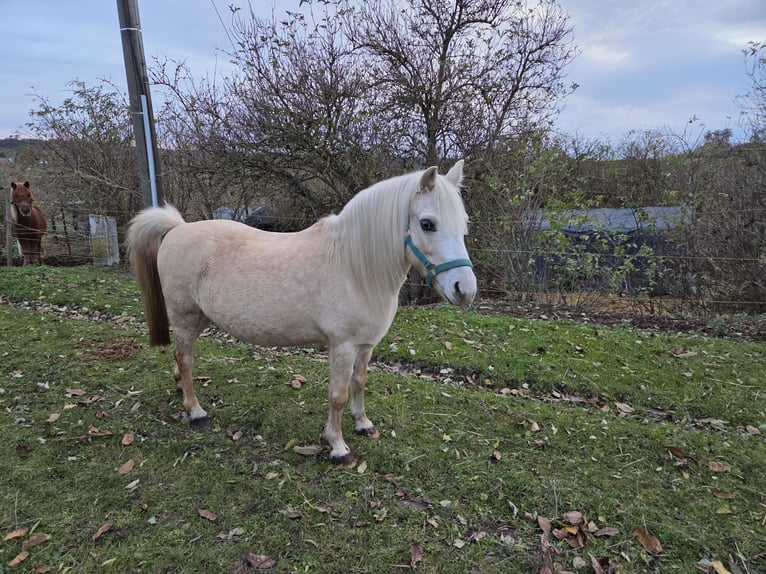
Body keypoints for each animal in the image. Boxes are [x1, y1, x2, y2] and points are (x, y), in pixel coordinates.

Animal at [126, 161, 477, 465]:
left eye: (464, 224)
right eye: (427, 224)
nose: (465, 289)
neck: (354, 267)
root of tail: (177, 229)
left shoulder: (365, 346)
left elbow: (360, 382)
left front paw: (363, 424)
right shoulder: (342, 346)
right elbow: (337, 394)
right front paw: (338, 447)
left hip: (199, 318)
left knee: (180, 357)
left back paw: (180, 390)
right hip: (184, 316)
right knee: (185, 359)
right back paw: (195, 411)